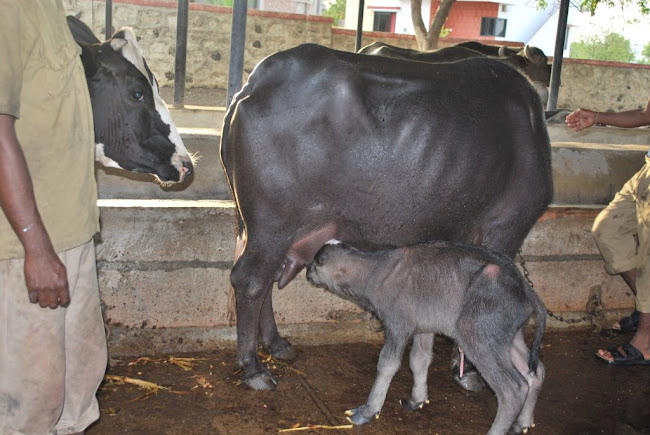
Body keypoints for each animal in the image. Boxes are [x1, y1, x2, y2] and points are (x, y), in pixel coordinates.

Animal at [220, 43, 553, 391]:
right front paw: (469, 371)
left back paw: (277, 345)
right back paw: (253, 367)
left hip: (269, 230)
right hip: (272, 224)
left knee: (265, 281)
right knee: (250, 280)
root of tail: (251, 87)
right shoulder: (504, 228)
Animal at [306, 241, 546, 434]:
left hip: (478, 334)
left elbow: (387, 365)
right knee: (535, 371)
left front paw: (368, 410)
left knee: (512, 389)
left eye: (317, 263)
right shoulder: (425, 326)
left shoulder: (397, 325)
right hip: (506, 335)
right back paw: (523, 423)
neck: (375, 272)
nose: (307, 270)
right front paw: (416, 399)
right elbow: (419, 360)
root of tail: (523, 286)